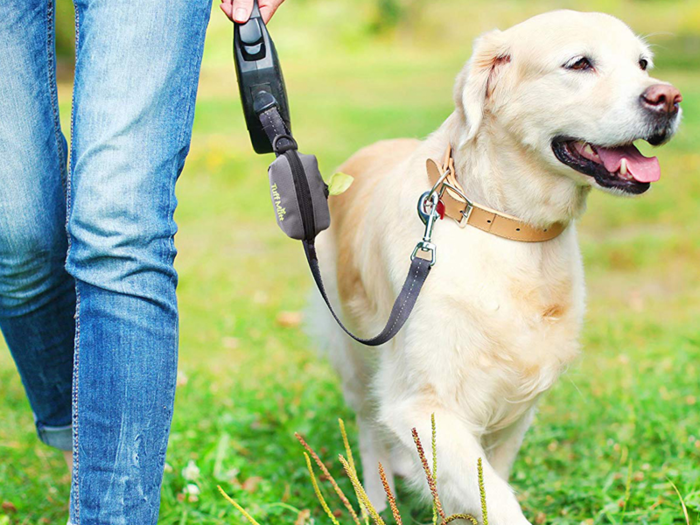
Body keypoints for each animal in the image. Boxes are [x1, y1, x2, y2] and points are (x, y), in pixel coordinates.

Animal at [310, 10, 680, 520]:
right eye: (580, 63)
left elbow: (490, 485)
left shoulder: (515, 406)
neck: (509, 226)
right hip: (354, 353)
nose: (669, 98)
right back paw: (376, 504)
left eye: (643, 64)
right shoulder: (422, 404)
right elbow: (498, 503)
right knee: (367, 430)